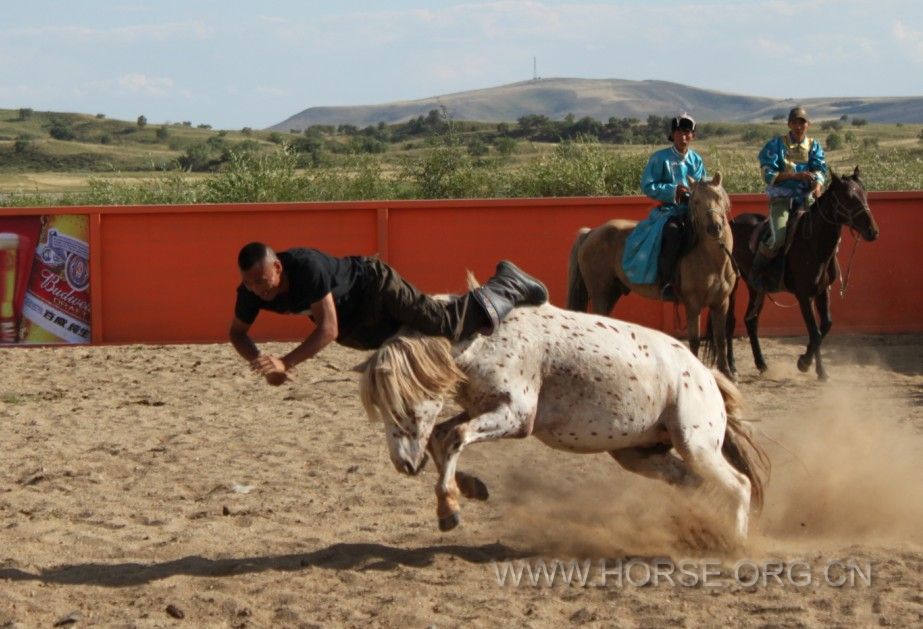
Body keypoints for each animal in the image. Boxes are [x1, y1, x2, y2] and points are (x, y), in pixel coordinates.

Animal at [364, 302, 768, 548]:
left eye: (403, 404)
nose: (404, 464)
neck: (487, 340)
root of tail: (706, 375)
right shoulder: (485, 409)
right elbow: (442, 436)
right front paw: (469, 488)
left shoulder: (516, 416)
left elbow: (455, 437)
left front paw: (449, 507)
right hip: (639, 454)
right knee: (690, 481)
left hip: (696, 445)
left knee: (739, 484)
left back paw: (735, 544)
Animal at [568, 172, 740, 378]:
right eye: (696, 201)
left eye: (718, 198)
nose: (714, 227)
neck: (711, 259)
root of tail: (591, 232)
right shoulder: (693, 304)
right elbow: (695, 340)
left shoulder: (721, 303)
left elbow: (720, 339)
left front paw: (728, 374)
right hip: (599, 292)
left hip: (612, 292)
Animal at [716, 167, 880, 380]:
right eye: (849, 197)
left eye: (865, 194)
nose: (872, 230)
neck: (813, 244)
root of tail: (731, 222)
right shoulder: (804, 296)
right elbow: (815, 332)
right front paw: (809, 365)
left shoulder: (822, 291)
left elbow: (825, 326)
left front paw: (812, 366)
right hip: (733, 285)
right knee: (729, 322)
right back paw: (732, 367)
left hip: (756, 288)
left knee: (751, 320)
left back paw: (762, 364)